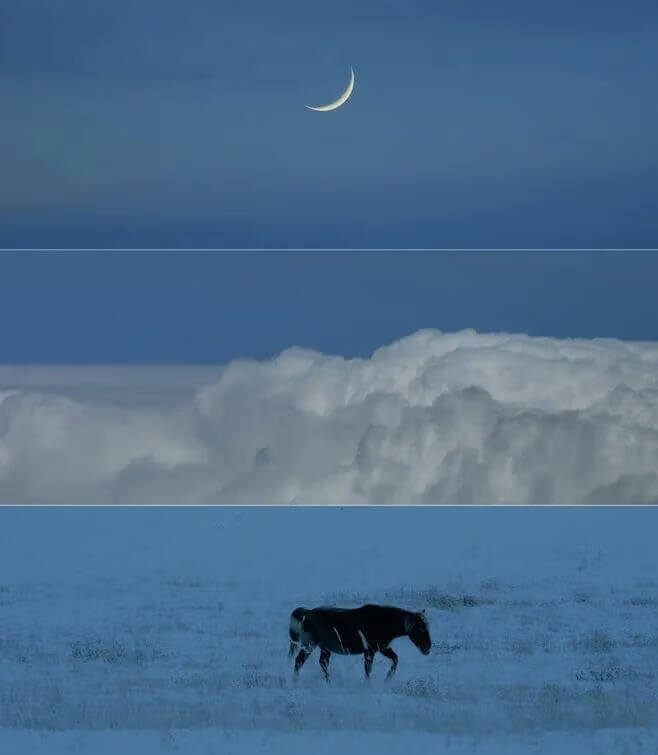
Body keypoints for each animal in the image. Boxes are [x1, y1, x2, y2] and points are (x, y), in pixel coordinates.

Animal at [288, 604, 430, 684]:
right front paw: (369, 684)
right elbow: (368, 669)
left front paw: (387, 680)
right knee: (299, 661)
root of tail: (307, 613)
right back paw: (295, 681)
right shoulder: (371, 650)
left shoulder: (383, 648)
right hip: (309, 645)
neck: (385, 622)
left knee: (322, 663)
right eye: (420, 628)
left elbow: (395, 660)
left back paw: (329, 682)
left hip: (325, 648)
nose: (427, 649)